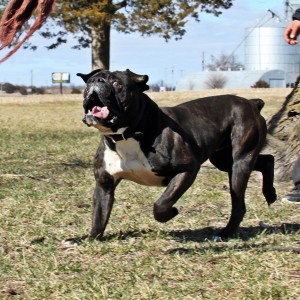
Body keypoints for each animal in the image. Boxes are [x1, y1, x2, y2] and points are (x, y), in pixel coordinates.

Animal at [75, 69, 276, 240]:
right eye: (89, 82)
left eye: (117, 84)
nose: (95, 82)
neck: (127, 135)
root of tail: (251, 103)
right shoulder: (104, 184)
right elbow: (99, 215)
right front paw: (90, 239)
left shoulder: (186, 170)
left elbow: (161, 204)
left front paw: (172, 212)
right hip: (225, 160)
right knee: (267, 160)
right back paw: (270, 194)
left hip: (239, 163)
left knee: (238, 204)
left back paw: (225, 233)